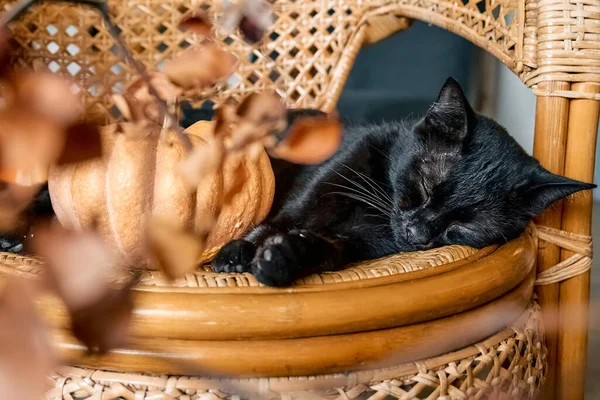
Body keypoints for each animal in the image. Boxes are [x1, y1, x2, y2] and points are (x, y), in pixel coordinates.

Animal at [212, 76, 596, 286]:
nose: (417, 234)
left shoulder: (355, 245)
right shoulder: (325, 184)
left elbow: (324, 249)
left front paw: (280, 259)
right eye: (424, 188)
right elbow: (285, 218)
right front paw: (239, 251)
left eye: (465, 227)